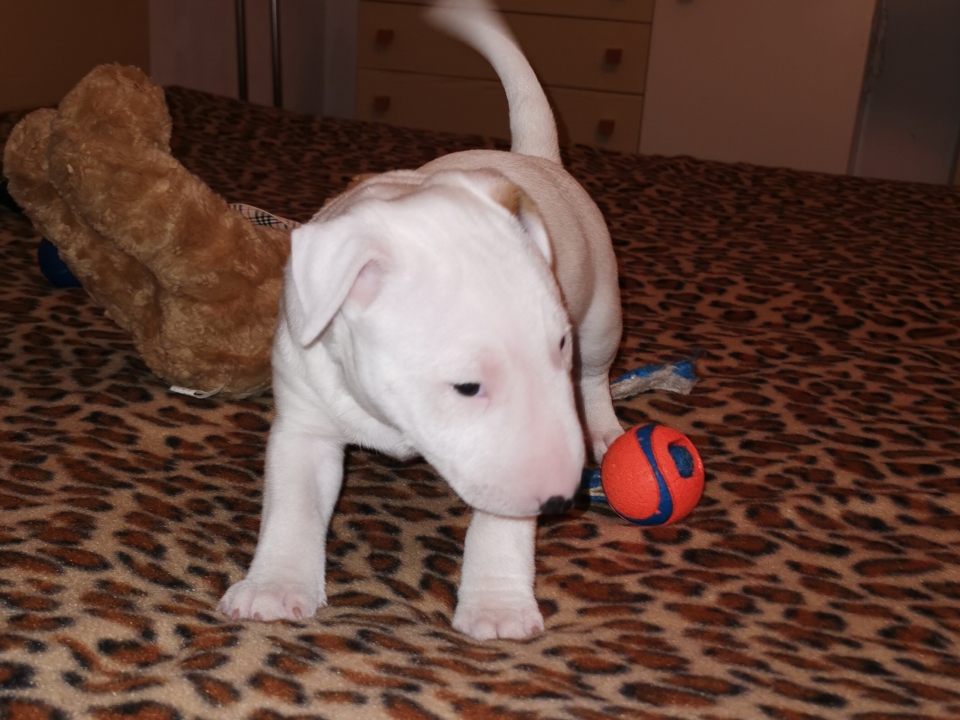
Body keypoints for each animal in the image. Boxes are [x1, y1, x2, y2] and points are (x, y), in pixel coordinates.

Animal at [218, 0, 624, 640]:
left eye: (557, 348)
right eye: (467, 386)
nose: (562, 500)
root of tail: (535, 157)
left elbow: (500, 518)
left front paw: (497, 606)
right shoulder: (305, 419)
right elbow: (293, 504)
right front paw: (274, 586)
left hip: (603, 311)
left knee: (597, 374)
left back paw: (604, 427)